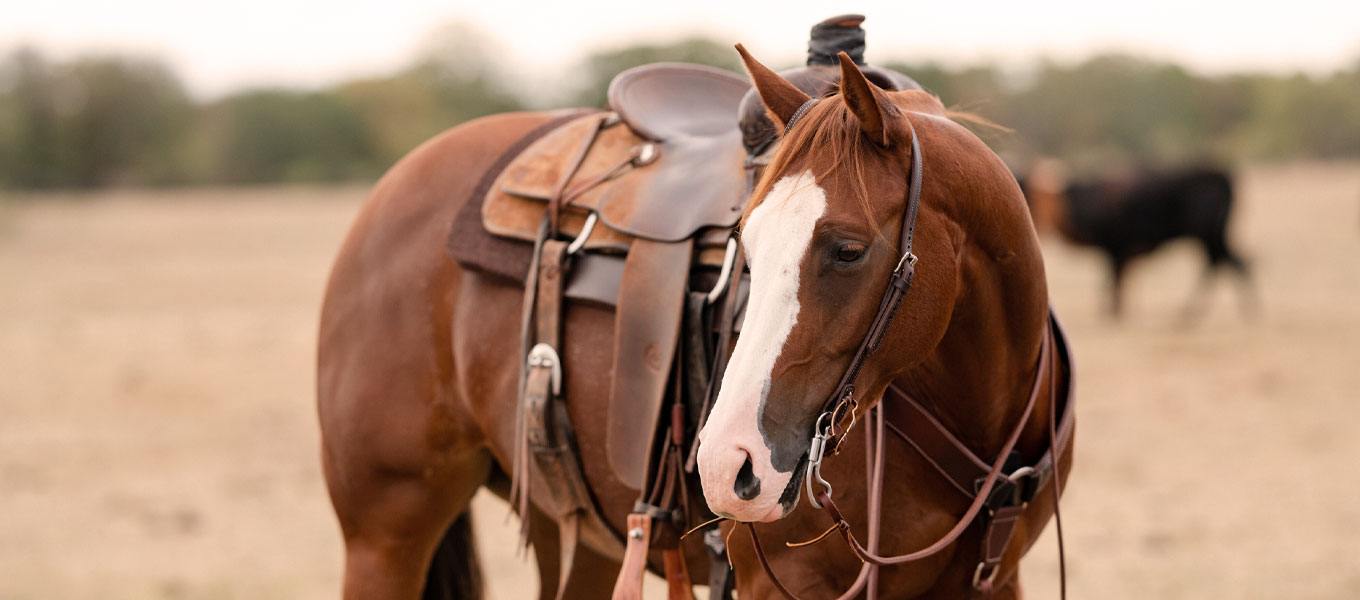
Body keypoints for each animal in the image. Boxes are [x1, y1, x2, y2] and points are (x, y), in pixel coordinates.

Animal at [1021, 160, 1255, 319]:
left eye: (1028, 191)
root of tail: (1221, 175)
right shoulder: (1118, 253)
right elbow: (1117, 282)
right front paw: (1116, 313)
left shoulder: (1115, 249)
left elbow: (1113, 282)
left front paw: (1113, 313)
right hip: (1214, 236)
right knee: (1232, 263)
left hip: (1208, 236)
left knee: (1221, 264)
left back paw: (1191, 314)